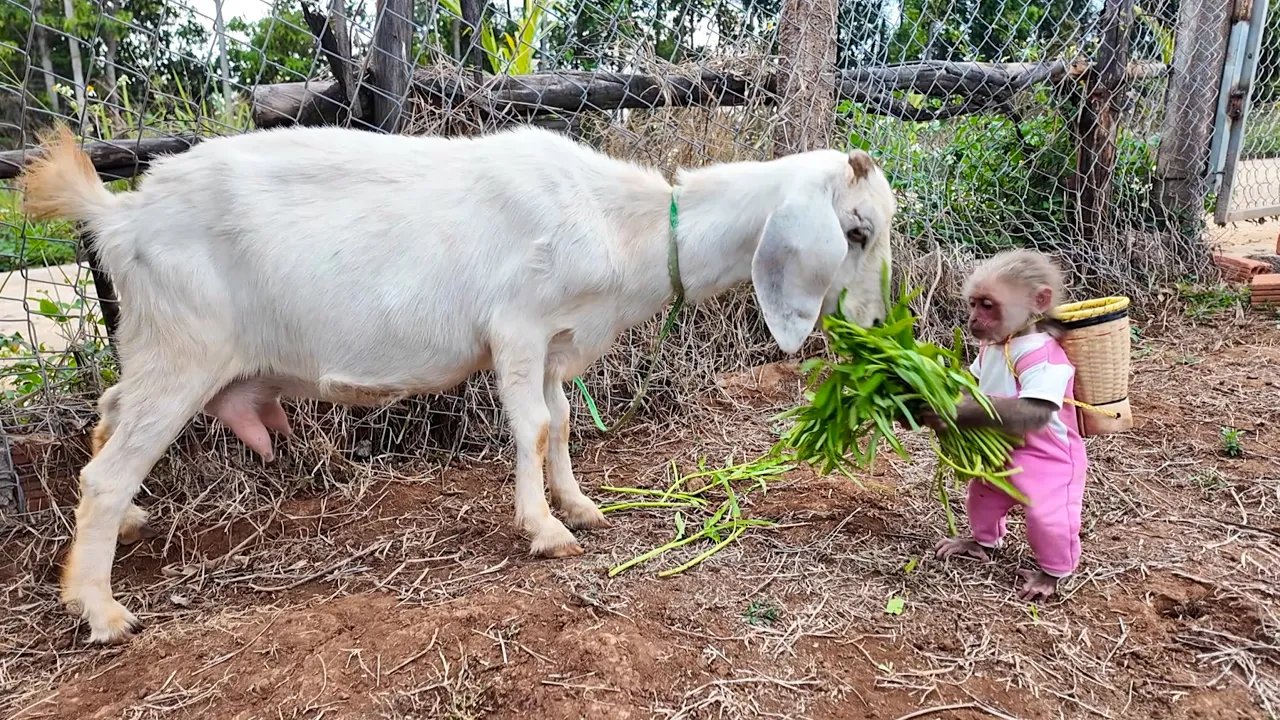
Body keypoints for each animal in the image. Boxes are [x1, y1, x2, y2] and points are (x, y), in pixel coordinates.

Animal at [19, 123, 897, 643]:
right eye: (855, 232)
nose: (880, 325)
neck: (626, 223)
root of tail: (121, 217)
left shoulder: (557, 341)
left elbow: (562, 421)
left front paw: (581, 504)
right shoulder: (517, 326)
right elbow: (532, 426)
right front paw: (545, 530)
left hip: (151, 347)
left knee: (107, 417)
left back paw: (128, 531)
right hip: (183, 350)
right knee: (105, 471)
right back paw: (100, 608)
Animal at [919, 249, 1088, 602]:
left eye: (987, 305)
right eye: (972, 303)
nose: (972, 320)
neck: (1015, 338)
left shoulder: (1046, 364)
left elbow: (1031, 410)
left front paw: (949, 409)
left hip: (1057, 489)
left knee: (1052, 527)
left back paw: (1048, 579)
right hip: (991, 484)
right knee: (983, 504)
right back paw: (973, 545)